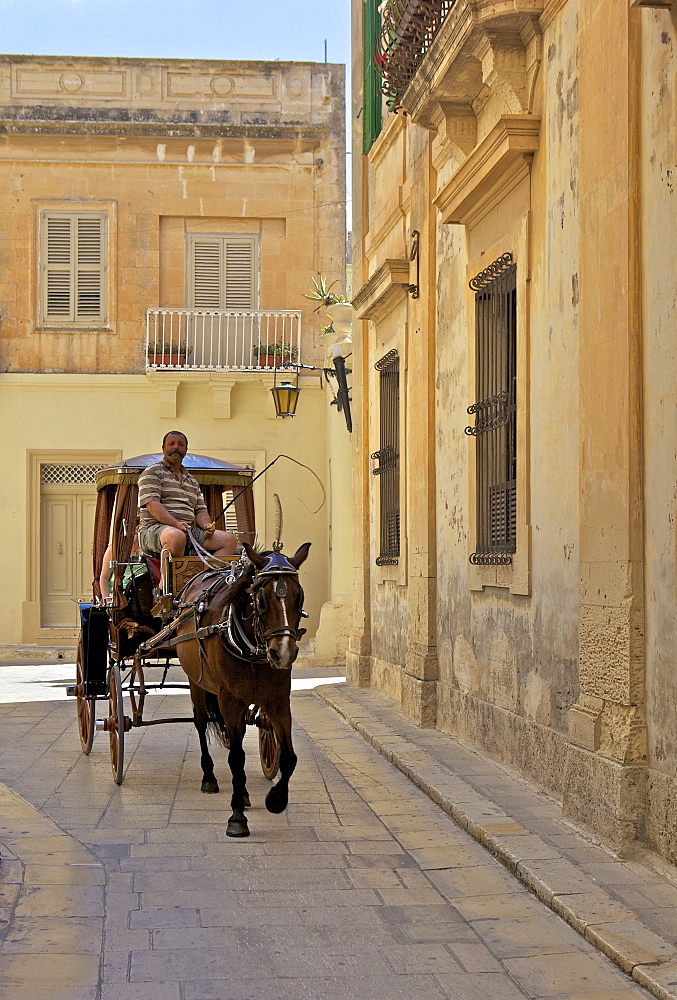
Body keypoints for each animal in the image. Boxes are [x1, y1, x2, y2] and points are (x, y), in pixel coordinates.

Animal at [174, 540, 312, 836]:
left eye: (299, 596)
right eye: (260, 598)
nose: (283, 652)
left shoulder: (279, 700)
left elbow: (289, 757)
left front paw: (276, 799)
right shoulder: (229, 700)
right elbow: (236, 757)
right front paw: (236, 816)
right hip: (197, 684)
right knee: (201, 723)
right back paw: (209, 777)